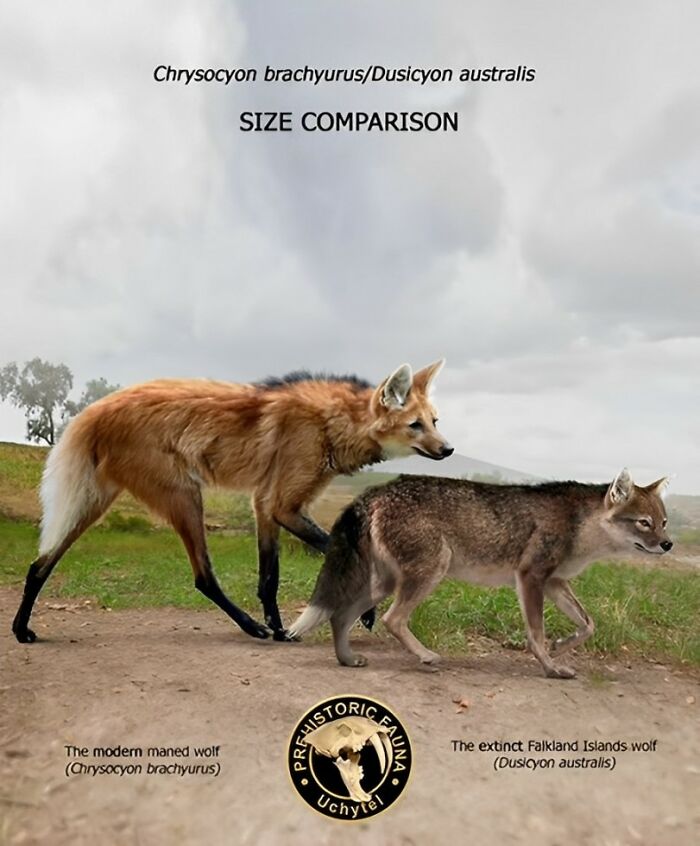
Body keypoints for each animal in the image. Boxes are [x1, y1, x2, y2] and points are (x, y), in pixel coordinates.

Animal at [12, 361, 452, 645]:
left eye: (435, 421)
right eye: (415, 425)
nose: (448, 449)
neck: (333, 424)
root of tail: (97, 408)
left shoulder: (265, 505)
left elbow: (268, 577)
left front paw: (280, 630)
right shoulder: (281, 505)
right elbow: (329, 551)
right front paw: (364, 610)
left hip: (96, 501)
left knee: (40, 563)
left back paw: (20, 629)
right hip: (184, 494)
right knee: (203, 577)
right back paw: (250, 627)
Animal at [289, 469, 673, 678]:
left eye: (663, 522)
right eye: (644, 523)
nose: (668, 545)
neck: (582, 526)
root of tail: (375, 490)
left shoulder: (554, 582)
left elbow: (588, 625)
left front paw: (562, 647)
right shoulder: (530, 577)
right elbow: (536, 634)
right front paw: (551, 667)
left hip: (387, 582)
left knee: (340, 615)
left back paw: (347, 659)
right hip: (427, 574)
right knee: (390, 620)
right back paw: (426, 656)